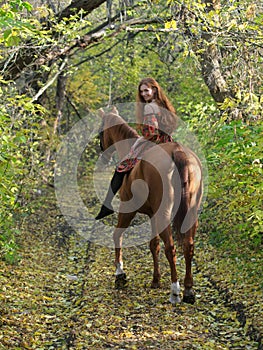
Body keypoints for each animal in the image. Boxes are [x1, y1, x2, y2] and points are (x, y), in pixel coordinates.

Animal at [98, 106, 203, 304]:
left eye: (101, 132)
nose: (103, 155)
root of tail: (178, 151)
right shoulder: (152, 215)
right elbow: (154, 245)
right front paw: (156, 280)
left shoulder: (128, 210)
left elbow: (117, 235)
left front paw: (120, 273)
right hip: (189, 213)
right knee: (188, 245)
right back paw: (188, 290)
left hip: (162, 214)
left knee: (171, 247)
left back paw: (175, 291)